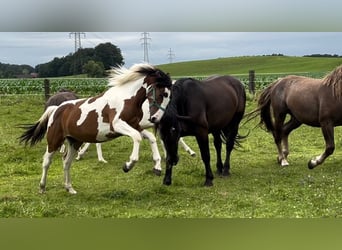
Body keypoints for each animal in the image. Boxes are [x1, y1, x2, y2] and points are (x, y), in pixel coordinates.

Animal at [18, 63, 172, 193]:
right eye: (161, 94)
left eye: (169, 96)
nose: (156, 119)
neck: (127, 99)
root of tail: (55, 109)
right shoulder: (118, 125)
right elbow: (137, 138)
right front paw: (128, 166)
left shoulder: (135, 125)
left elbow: (150, 138)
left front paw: (157, 168)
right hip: (54, 140)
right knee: (46, 162)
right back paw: (42, 188)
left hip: (74, 141)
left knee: (66, 162)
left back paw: (70, 188)